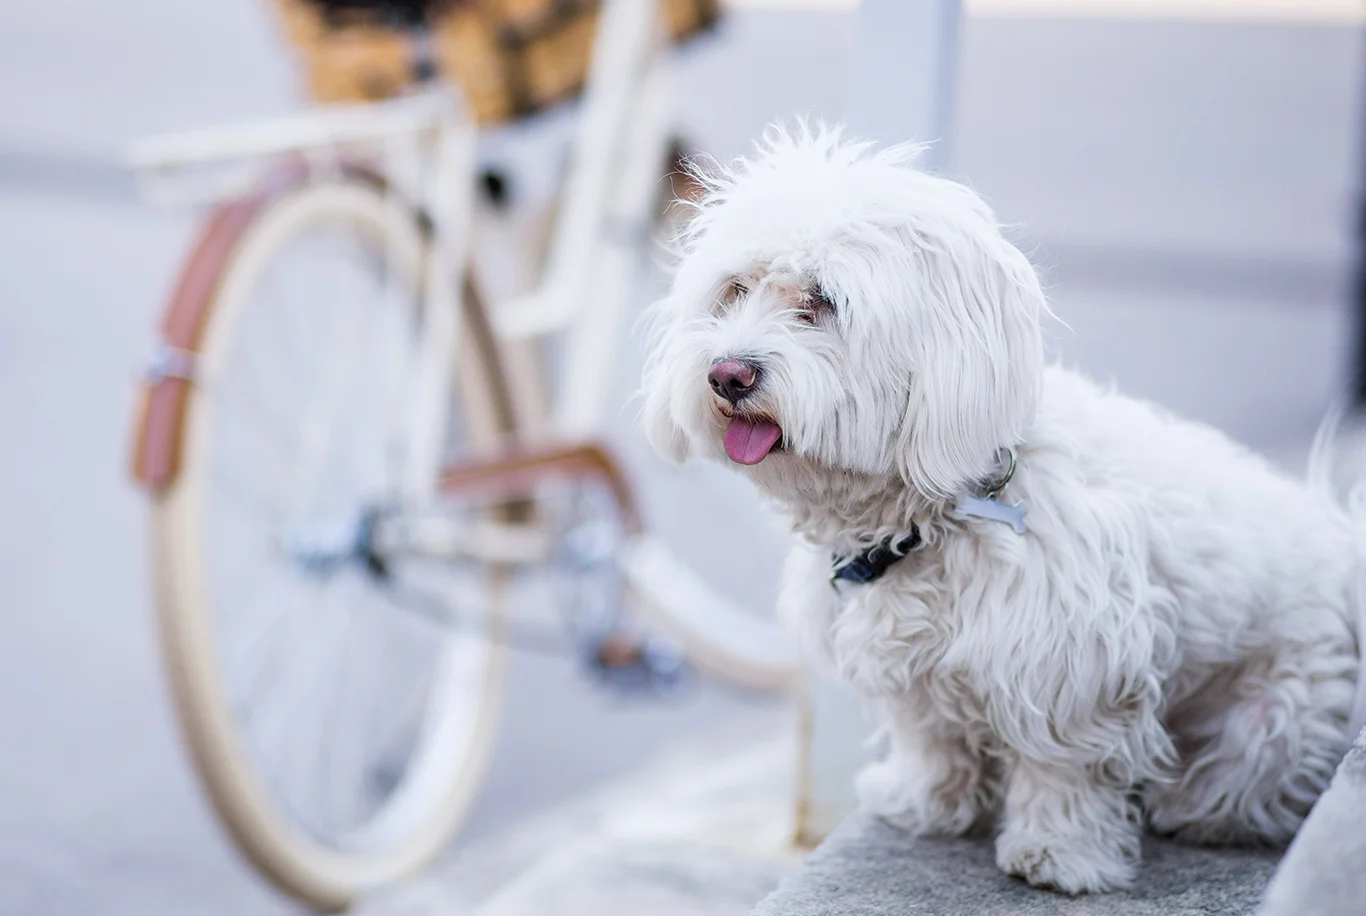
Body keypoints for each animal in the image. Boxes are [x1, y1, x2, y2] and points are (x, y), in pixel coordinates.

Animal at [639, 125, 1366, 890]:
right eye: (735, 291)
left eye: (823, 301)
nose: (727, 374)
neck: (929, 515)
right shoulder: (913, 675)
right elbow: (931, 739)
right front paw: (924, 803)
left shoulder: (1072, 670)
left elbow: (1063, 768)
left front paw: (1059, 854)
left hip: (1270, 718)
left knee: (1242, 787)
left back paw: (1188, 805)